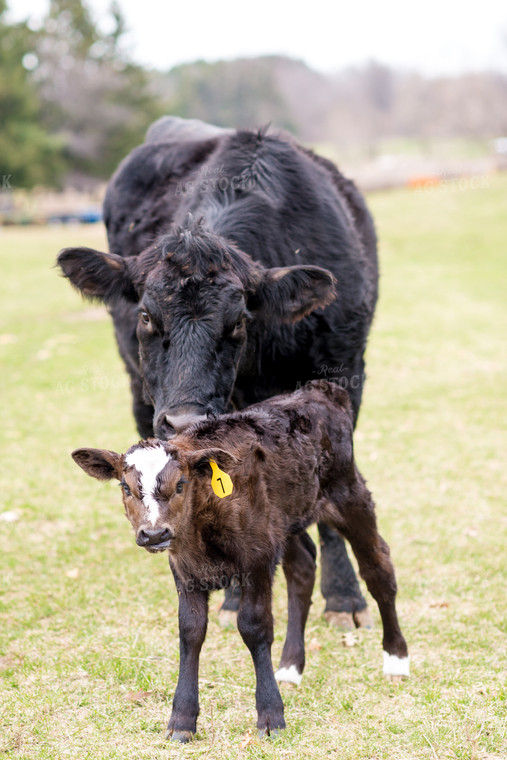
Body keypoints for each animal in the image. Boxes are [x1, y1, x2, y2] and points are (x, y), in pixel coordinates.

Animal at [57, 117, 380, 628]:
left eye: (239, 320)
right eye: (145, 315)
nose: (183, 420)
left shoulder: (346, 375)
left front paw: (345, 598)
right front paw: (230, 592)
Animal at [73, 380, 410, 744]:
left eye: (180, 484)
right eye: (126, 488)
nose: (153, 533)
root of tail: (321, 390)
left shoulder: (257, 558)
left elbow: (254, 626)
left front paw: (271, 715)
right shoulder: (185, 568)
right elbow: (190, 630)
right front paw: (182, 719)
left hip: (348, 495)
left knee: (377, 567)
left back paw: (396, 661)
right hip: (283, 520)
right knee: (303, 569)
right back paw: (290, 667)